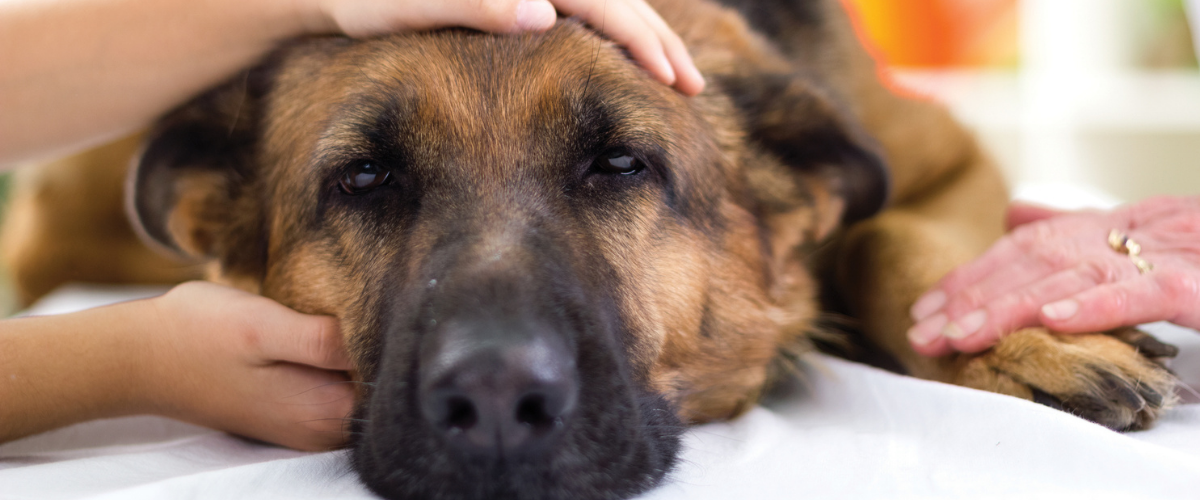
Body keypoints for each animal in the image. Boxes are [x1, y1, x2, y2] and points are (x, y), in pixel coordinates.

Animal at [2, 0, 1180, 496]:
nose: (492, 403)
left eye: (620, 164)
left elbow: (889, 238)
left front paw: (1020, 339)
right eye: (365, 178)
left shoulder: (947, 164)